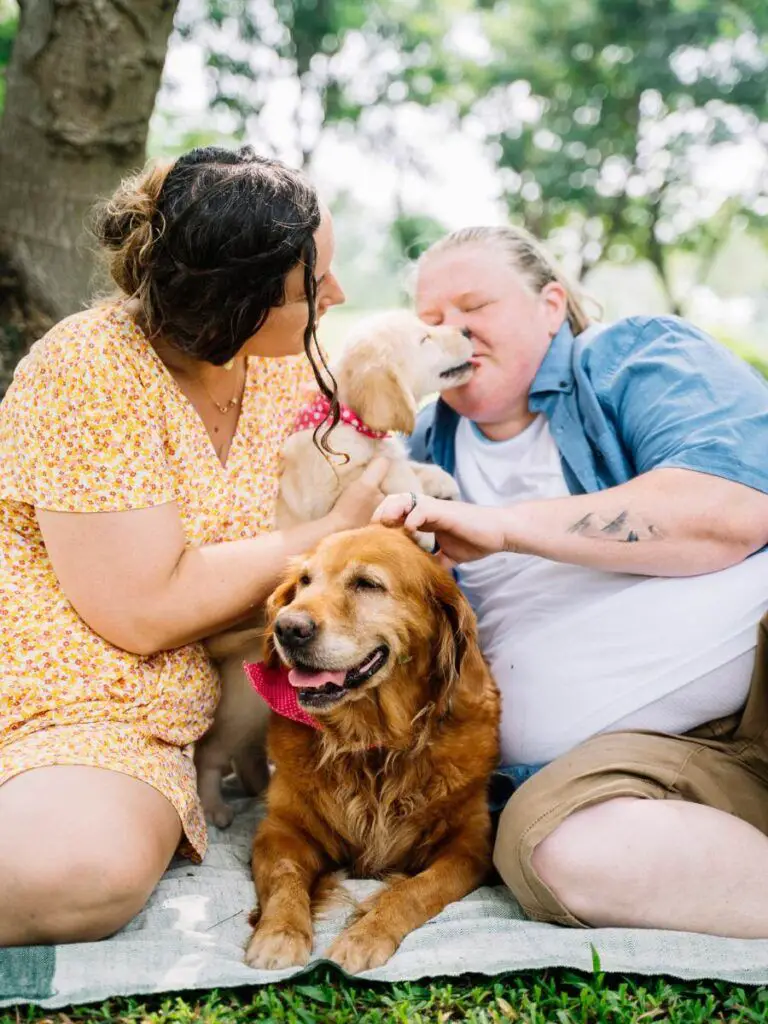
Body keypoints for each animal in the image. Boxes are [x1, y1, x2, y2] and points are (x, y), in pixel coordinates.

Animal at [195, 309, 475, 823]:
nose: (465, 330)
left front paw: (438, 480)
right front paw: (417, 506)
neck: (350, 421)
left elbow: (407, 465)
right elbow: (392, 475)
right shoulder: (334, 488)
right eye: (425, 338)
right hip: (243, 707)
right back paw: (216, 807)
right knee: (211, 753)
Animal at [243, 528, 501, 974]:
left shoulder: (469, 845)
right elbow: (284, 876)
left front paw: (365, 935)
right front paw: (279, 934)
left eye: (367, 584)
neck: (372, 745)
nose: (287, 627)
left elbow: (416, 890)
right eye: (305, 582)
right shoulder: (281, 829)